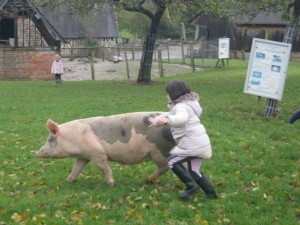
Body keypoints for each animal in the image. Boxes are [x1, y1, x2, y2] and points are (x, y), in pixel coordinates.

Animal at [36, 111, 176, 186]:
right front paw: (69, 181)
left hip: (159, 152)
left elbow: (105, 168)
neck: (73, 138)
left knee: (165, 167)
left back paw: (147, 180)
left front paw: (112, 184)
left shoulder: (97, 153)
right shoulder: (83, 157)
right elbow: (76, 169)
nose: (37, 152)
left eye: (50, 140)